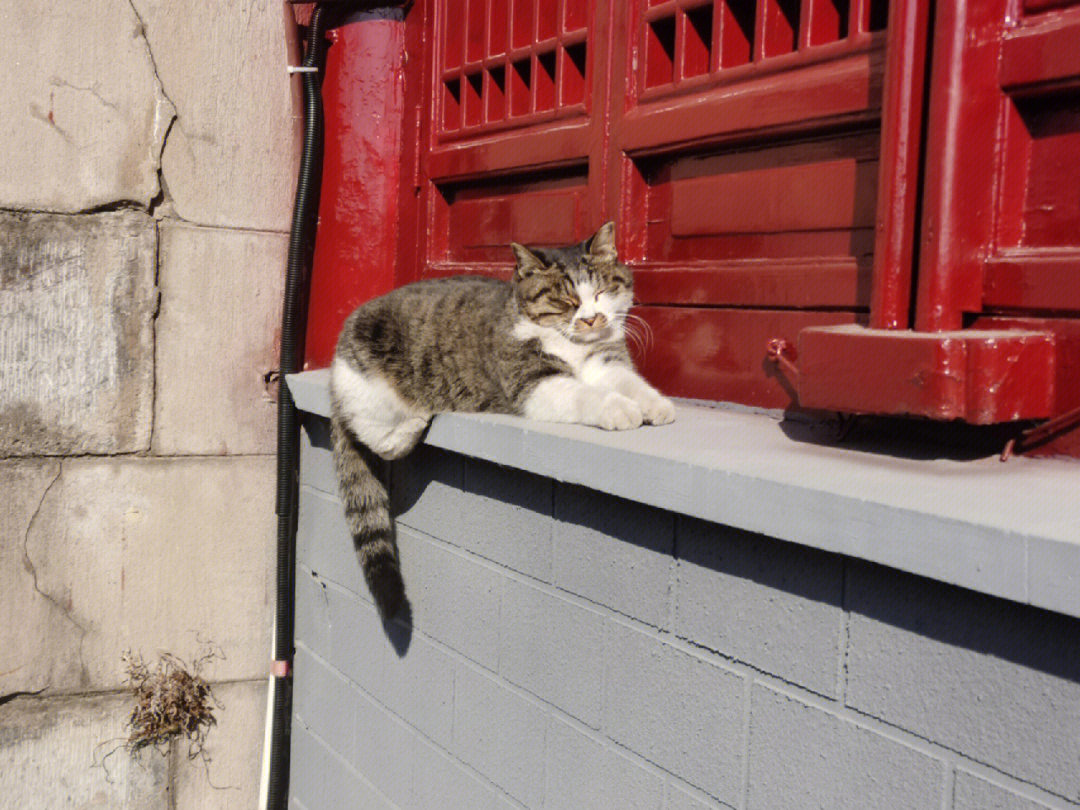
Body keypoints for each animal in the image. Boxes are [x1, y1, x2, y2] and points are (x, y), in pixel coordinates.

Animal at [326, 222, 673, 622]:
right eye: (565, 301)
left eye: (601, 291)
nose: (590, 319)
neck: (573, 347)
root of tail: (335, 373)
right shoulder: (535, 385)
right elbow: (587, 396)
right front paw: (620, 410)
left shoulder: (606, 362)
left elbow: (631, 383)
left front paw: (657, 405)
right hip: (371, 392)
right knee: (374, 436)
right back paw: (415, 421)